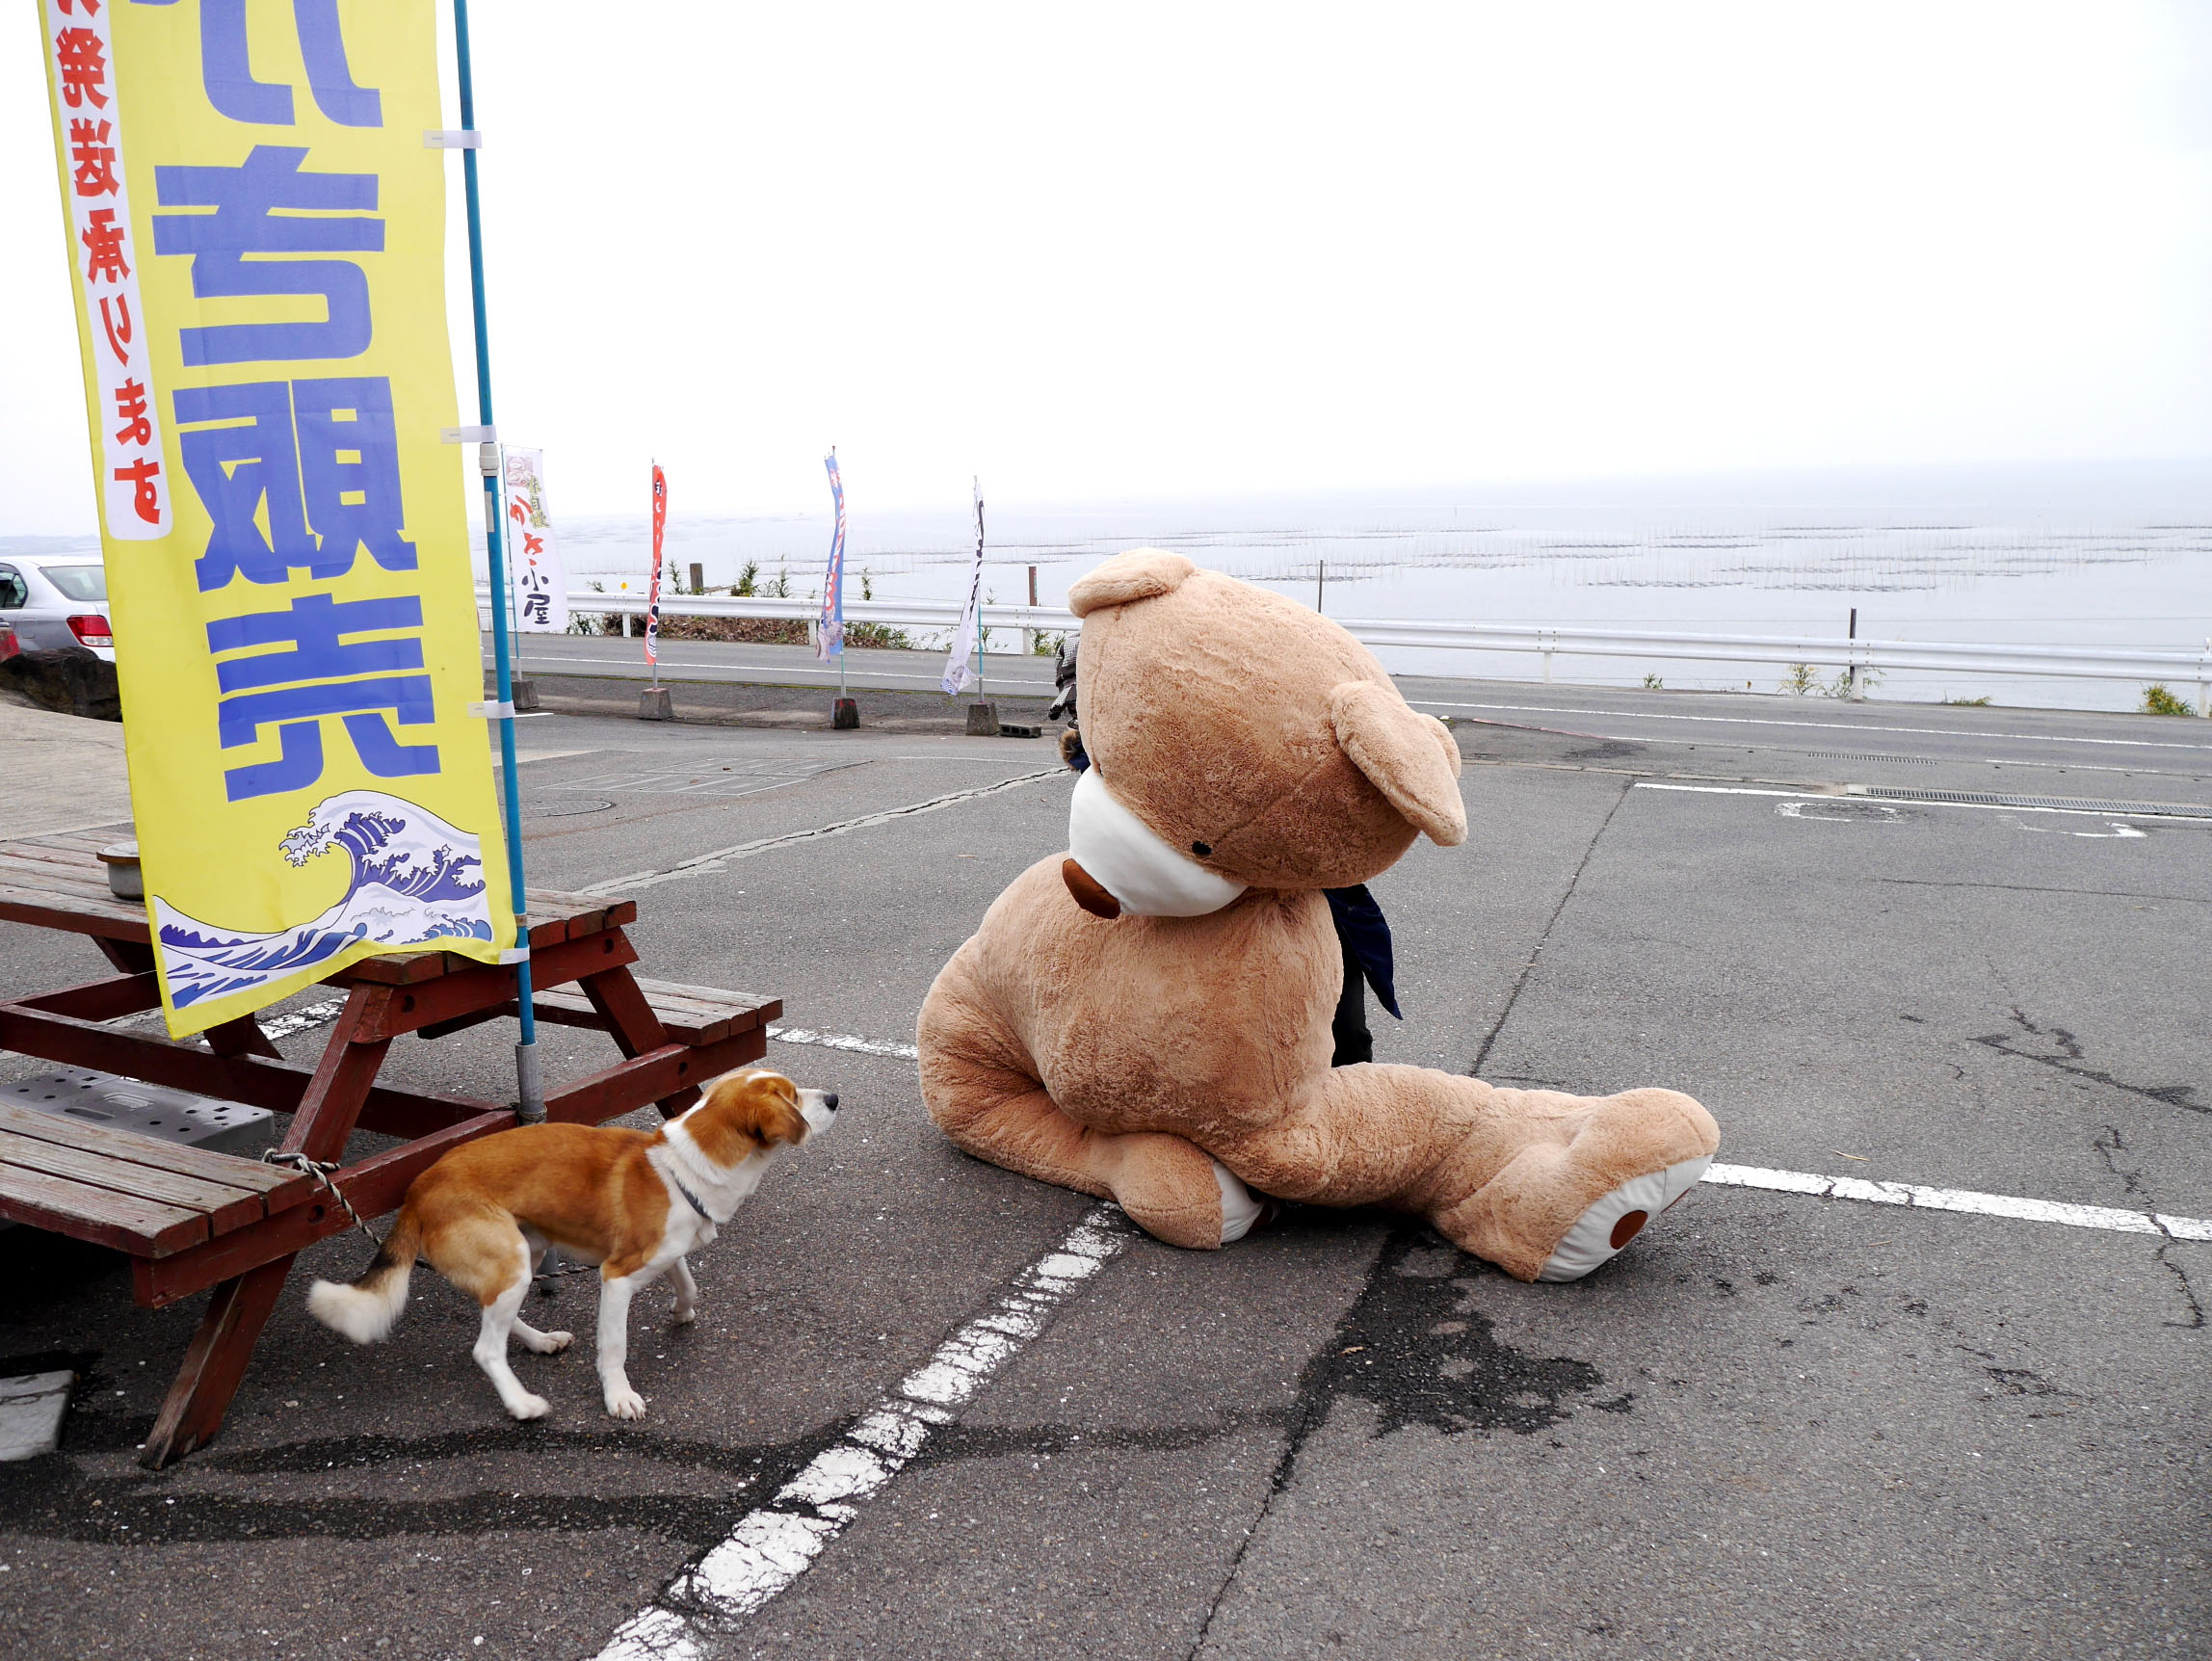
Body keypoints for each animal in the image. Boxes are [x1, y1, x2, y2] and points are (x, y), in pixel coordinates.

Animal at [307, 1070, 831, 1424]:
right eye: (791, 1096)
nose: (834, 1097)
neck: (683, 1169)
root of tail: (418, 1188)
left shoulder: (665, 1253)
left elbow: (688, 1283)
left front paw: (681, 1312)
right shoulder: (616, 1277)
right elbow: (615, 1347)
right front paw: (618, 1397)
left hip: (525, 1253)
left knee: (494, 1316)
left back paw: (540, 1340)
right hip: (513, 1259)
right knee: (485, 1349)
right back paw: (522, 1403)